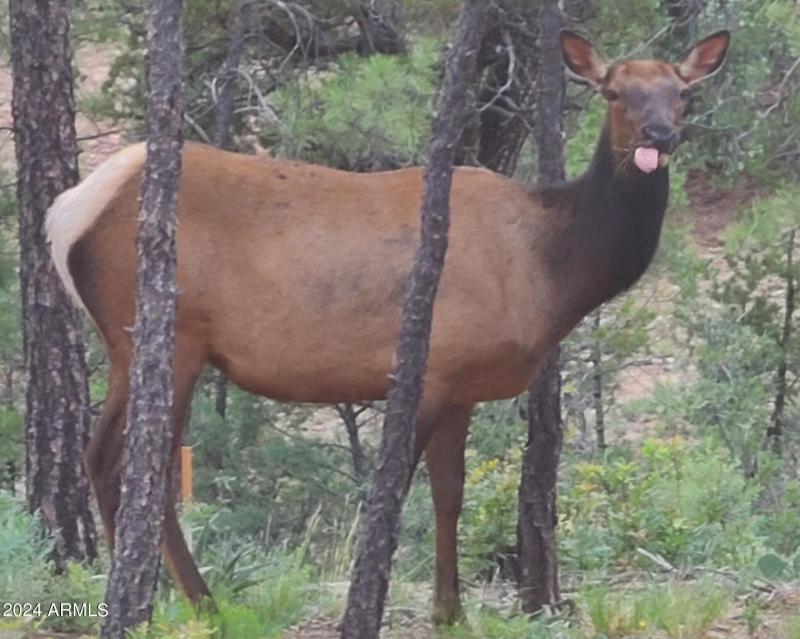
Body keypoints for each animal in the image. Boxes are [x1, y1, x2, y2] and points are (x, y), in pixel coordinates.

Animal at [46, 30, 730, 624]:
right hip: (166, 336)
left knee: (116, 461)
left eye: (681, 92)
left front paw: (451, 612)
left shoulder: (462, 385)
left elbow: (450, 494)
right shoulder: (430, 366)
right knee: (127, 462)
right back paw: (184, 601)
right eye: (614, 92)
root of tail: (67, 213)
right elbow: (395, 490)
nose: (660, 134)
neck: (550, 268)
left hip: (139, 344)